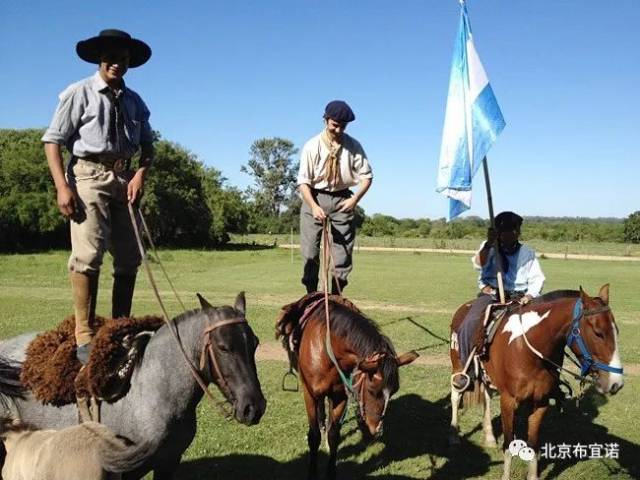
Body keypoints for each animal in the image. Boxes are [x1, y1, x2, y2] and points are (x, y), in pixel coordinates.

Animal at [276, 292, 420, 480]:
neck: (326, 349)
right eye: (372, 390)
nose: (376, 430)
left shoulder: (340, 396)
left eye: (394, 391)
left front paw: (331, 471)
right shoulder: (310, 395)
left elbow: (334, 435)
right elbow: (313, 436)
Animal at [448, 284, 624, 480]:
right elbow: (509, 444)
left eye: (616, 331)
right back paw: (454, 435)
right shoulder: (508, 401)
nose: (616, 383)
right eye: (598, 333)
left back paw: (490, 437)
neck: (528, 350)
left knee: (486, 397)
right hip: (459, 368)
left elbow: (532, 445)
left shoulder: (540, 402)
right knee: (456, 395)